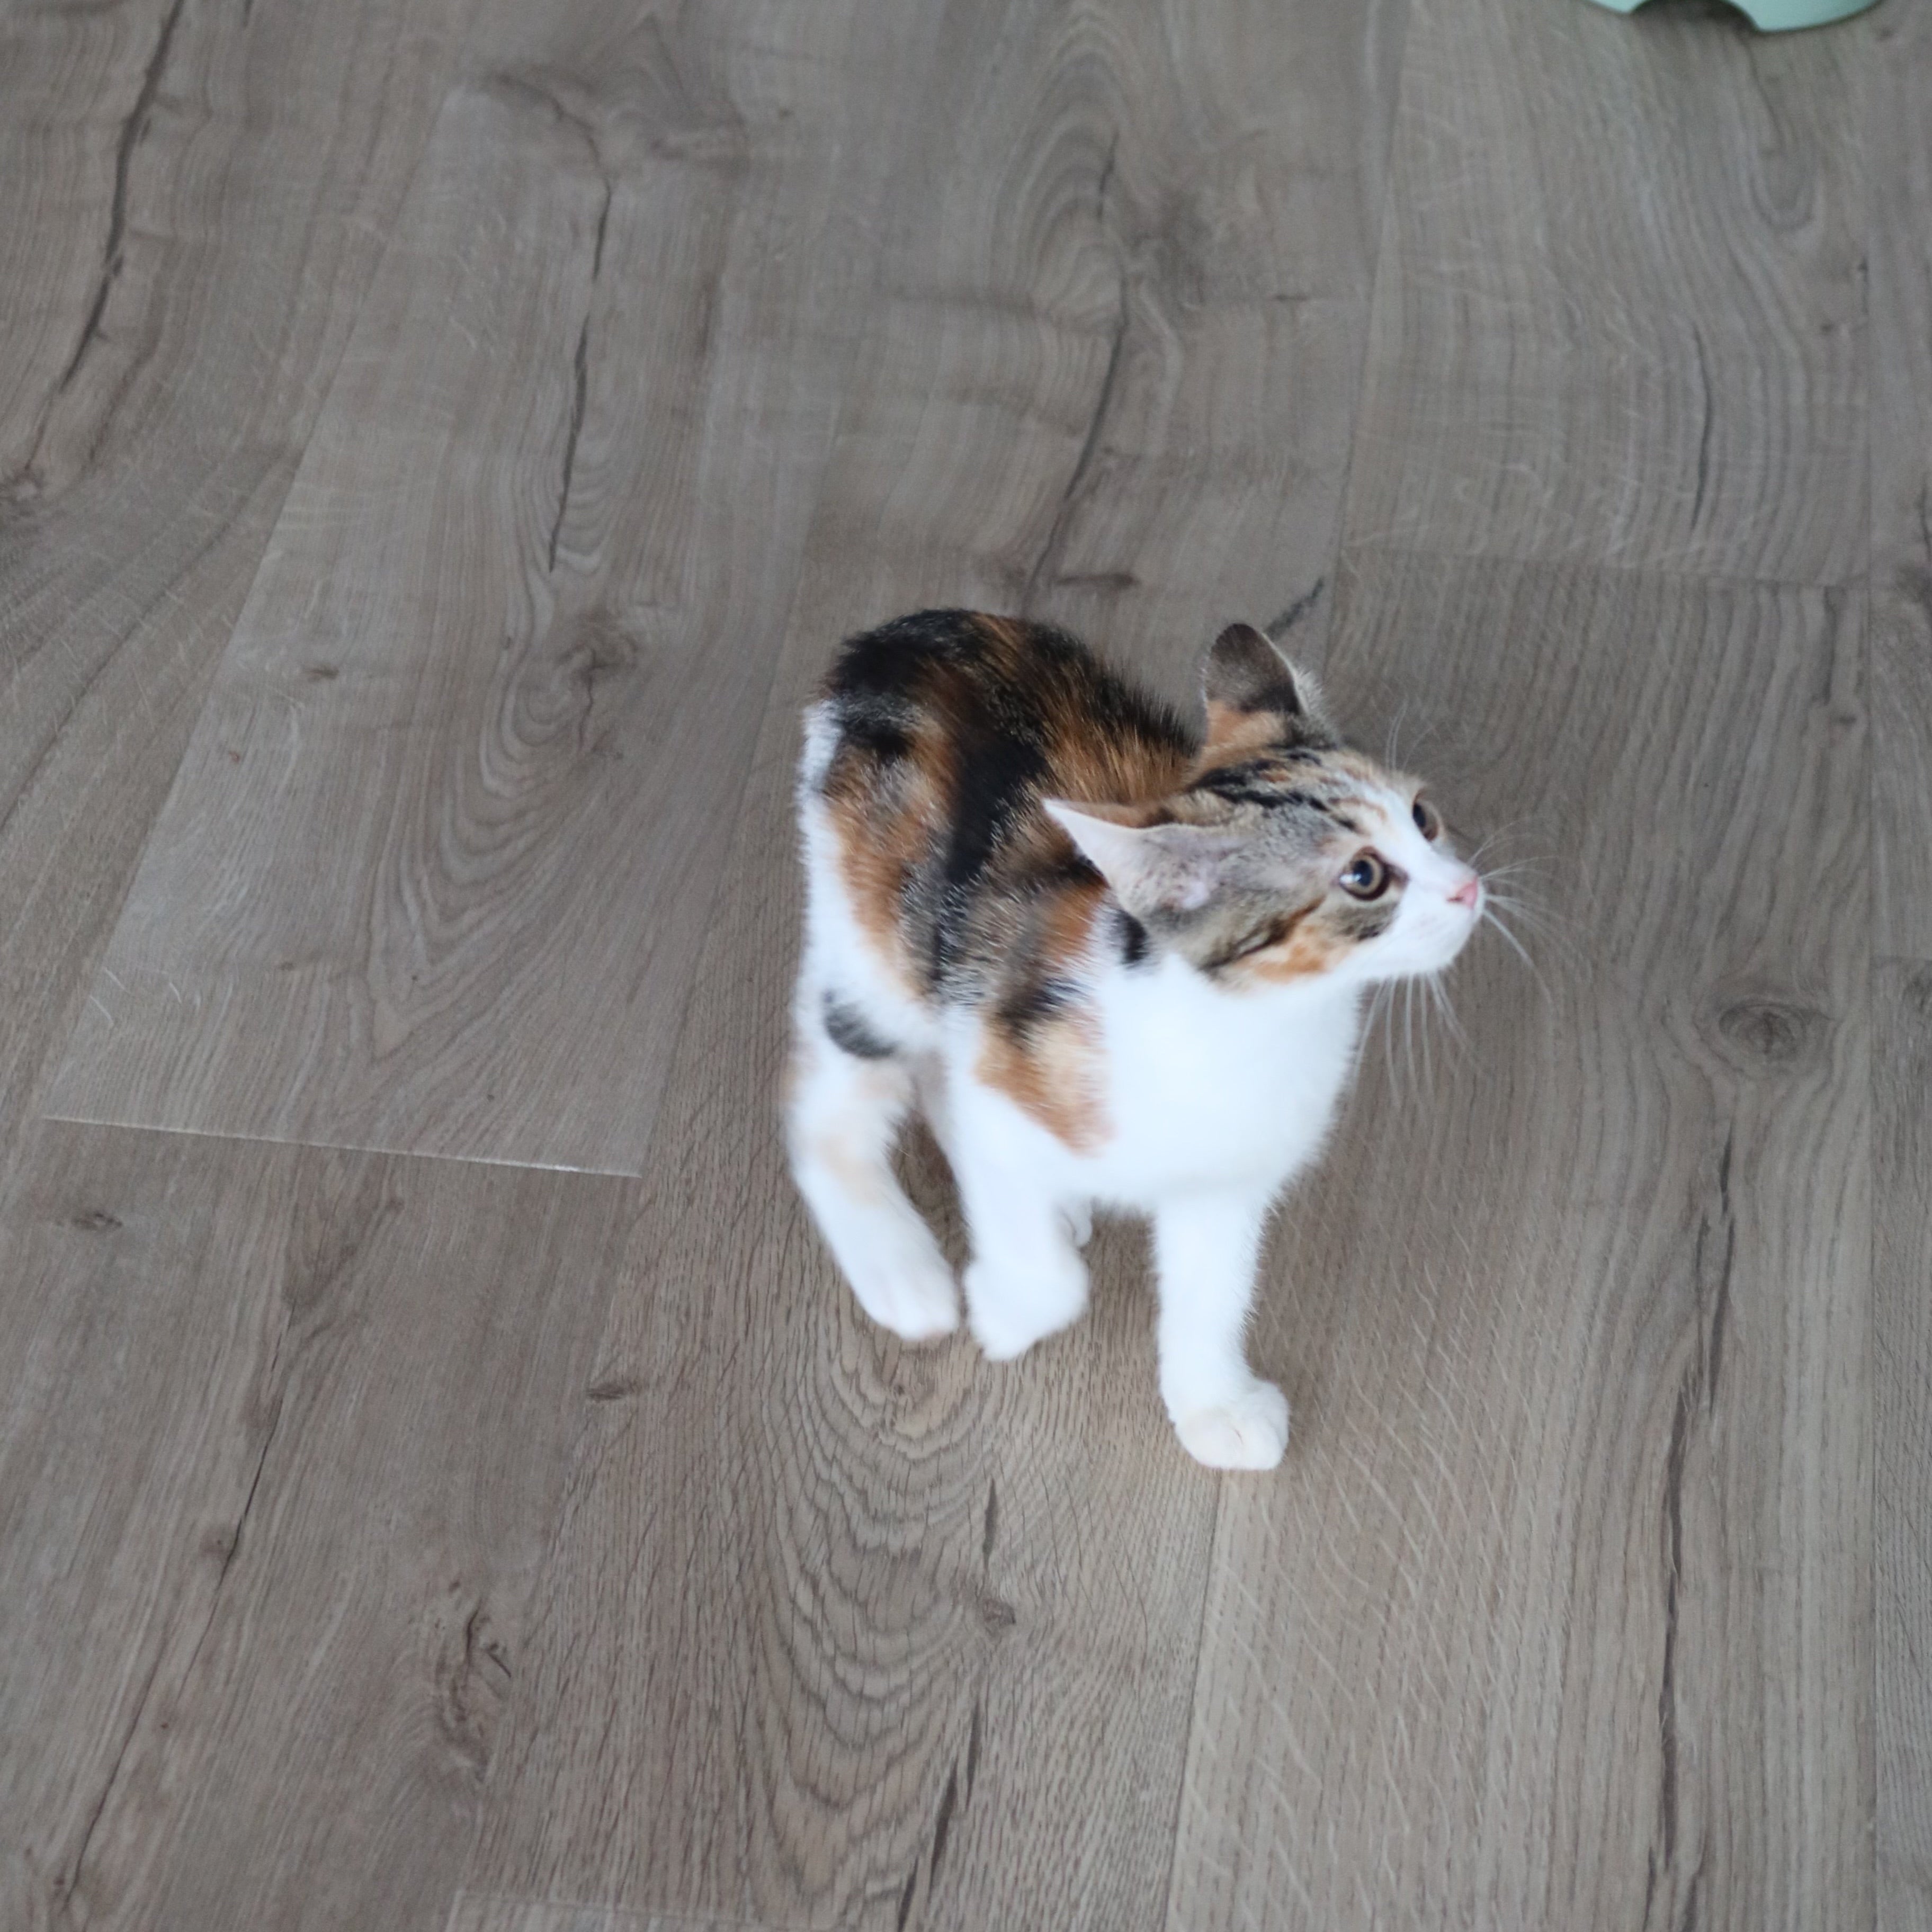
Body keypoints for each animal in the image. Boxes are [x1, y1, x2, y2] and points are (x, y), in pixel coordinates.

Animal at [786, 610, 1482, 1469]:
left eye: (1423, 818)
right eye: (1364, 877)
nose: (1468, 887)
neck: (1246, 1030)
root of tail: (897, 635)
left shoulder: (1224, 1183)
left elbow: (1214, 1293)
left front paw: (1214, 1406)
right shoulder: (1004, 1079)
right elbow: (1050, 1271)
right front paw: (1003, 1310)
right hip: (874, 956)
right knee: (824, 1108)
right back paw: (902, 1271)